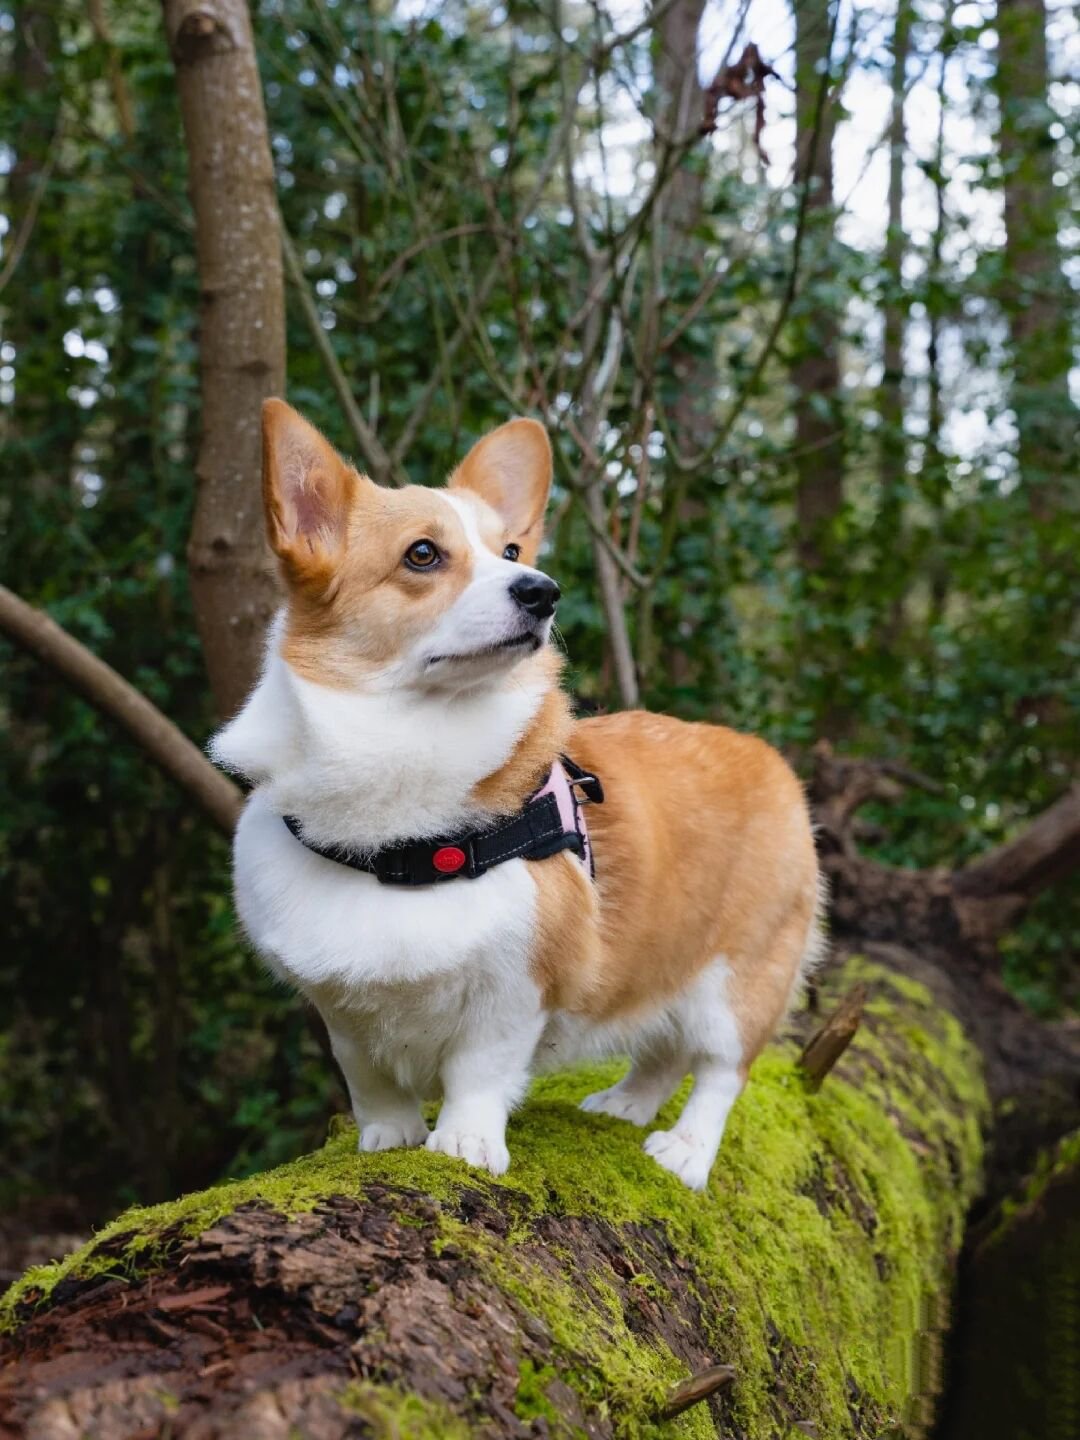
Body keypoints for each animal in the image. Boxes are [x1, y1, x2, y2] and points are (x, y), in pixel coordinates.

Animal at [208, 400, 817, 1186]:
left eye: (511, 550)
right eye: (423, 554)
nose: (542, 590)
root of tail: (770, 761)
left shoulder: (515, 989)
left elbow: (479, 1070)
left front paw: (465, 1144)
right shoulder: (339, 1007)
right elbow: (368, 1078)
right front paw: (390, 1136)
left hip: (738, 979)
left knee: (720, 1068)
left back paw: (684, 1150)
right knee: (663, 1048)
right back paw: (625, 1104)